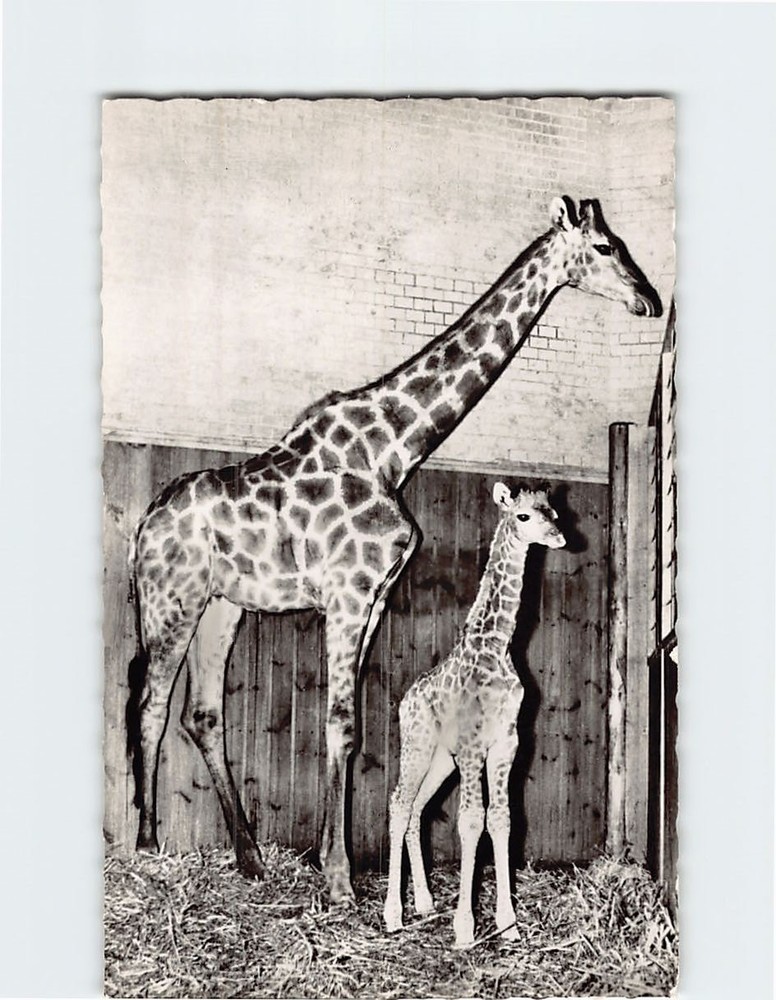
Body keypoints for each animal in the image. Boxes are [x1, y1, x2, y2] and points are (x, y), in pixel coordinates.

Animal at [383, 484, 565, 948]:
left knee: (417, 810)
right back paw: (393, 915)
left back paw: (425, 903)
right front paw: (465, 928)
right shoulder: (471, 745)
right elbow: (470, 822)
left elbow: (501, 820)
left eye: (553, 512)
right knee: (399, 804)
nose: (558, 537)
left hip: (440, 761)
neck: (497, 645)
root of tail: (405, 700)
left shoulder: (506, 743)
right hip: (418, 745)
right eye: (522, 516)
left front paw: (508, 924)